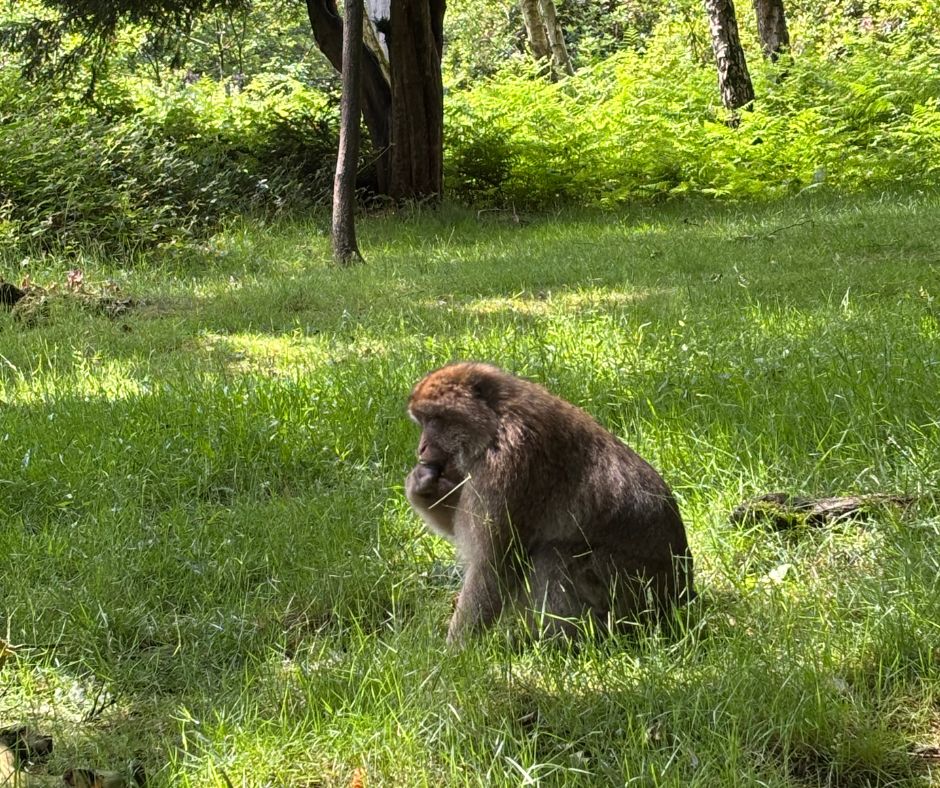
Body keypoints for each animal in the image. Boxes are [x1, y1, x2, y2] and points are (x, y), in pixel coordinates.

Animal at [406, 362, 694, 643]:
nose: (420, 448)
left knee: (551, 556)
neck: (496, 426)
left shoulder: (508, 467)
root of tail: (681, 595)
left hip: (629, 599)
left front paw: (455, 652)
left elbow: (494, 564)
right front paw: (421, 486)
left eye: (434, 420)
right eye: (422, 421)